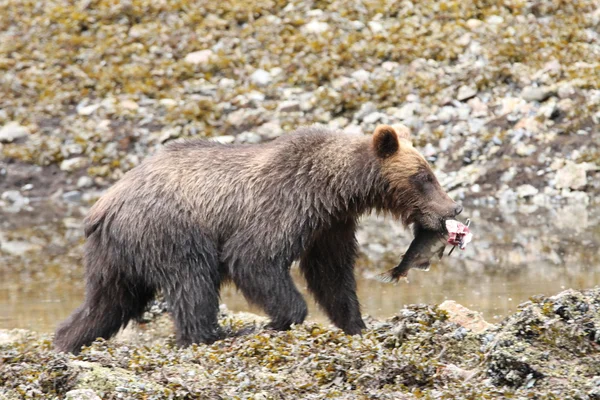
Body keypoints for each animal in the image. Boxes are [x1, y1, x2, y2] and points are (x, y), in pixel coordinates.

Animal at [54, 124, 462, 354]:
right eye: (424, 177)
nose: (453, 208)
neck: (336, 189)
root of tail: (105, 204)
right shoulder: (284, 204)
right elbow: (254, 258)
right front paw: (278, 320)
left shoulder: (330, 226)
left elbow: (332, 276)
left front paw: (357, 325)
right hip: (170, 231)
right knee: (193, 283)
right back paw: (210, 335)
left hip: (117, 254)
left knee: (106, 302)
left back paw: (67, 341)